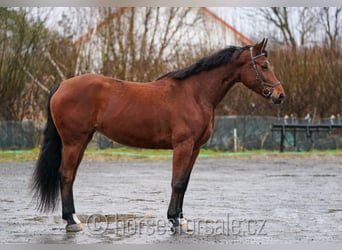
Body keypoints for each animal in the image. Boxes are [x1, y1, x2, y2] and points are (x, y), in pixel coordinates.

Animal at [32, 38, 284, 232]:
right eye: (263, 65)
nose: (280, 95)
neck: (195, 94)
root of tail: (62, 85)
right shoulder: (183, 145)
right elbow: (177, 182)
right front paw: (175, 220)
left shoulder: (195, 148)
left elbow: (185, 182)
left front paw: (181, 218)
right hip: (73, 141)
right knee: (66, 175)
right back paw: (72, 221)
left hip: (82, 141)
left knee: (70, 175)